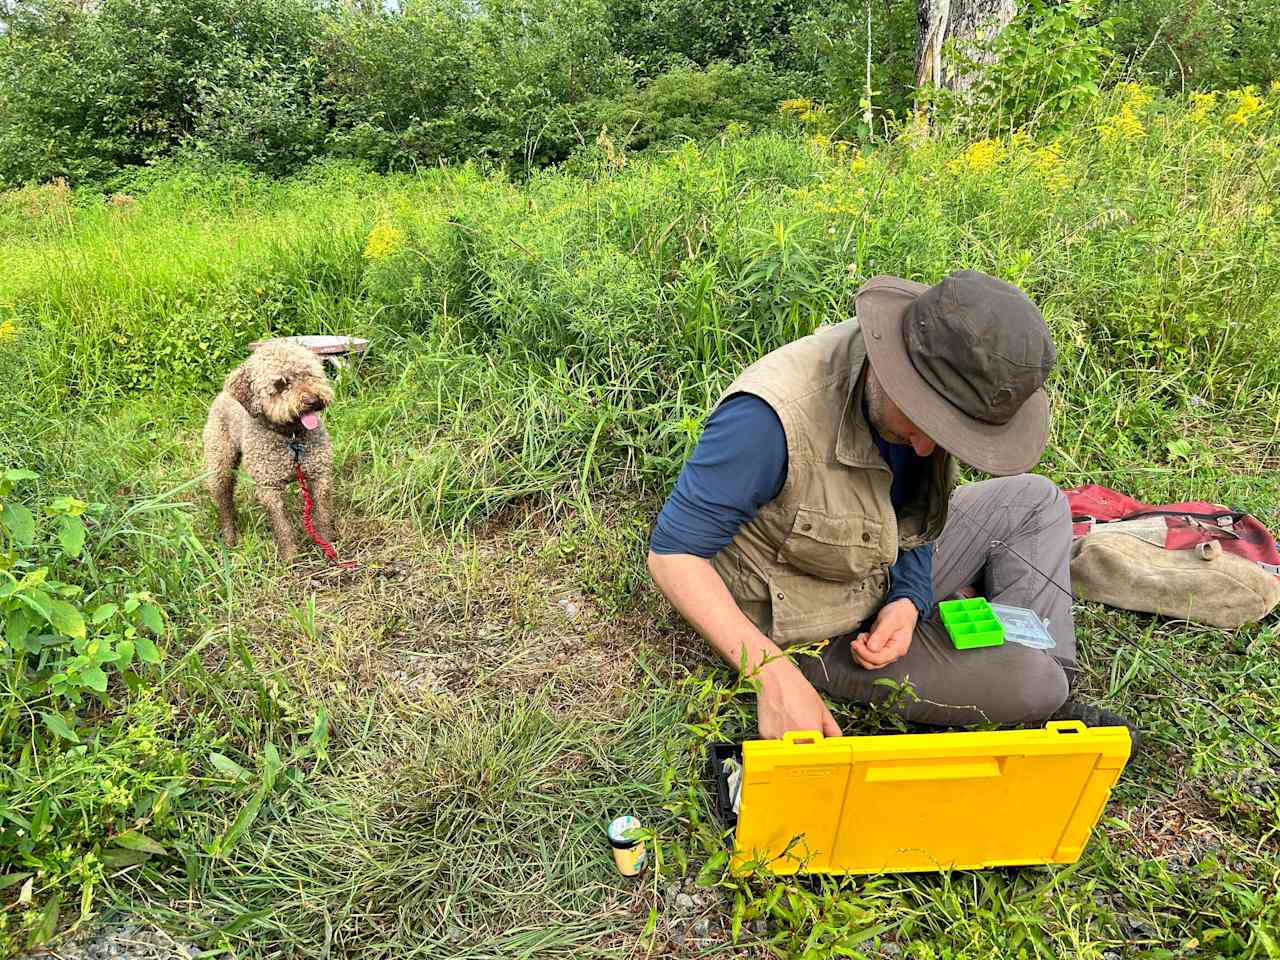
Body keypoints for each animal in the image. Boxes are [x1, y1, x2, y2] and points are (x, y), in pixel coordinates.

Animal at [203, 343, 335, 560]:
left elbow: (322, 514)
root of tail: (223, 392)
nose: (311, 399)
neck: (291, 439)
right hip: (220, 465)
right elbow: (282, 527)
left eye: (309, 374)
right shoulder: (269, 487)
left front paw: (328, 547)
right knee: (224, 503)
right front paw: (290, 558)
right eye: (280, 384)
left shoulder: (319, 476)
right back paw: (230, 539)